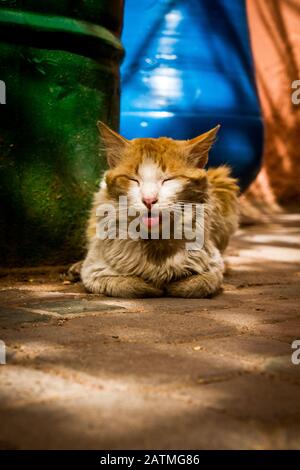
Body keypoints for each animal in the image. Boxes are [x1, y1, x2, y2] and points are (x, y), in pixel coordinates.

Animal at [79, 121, 239, 298]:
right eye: (133, 180)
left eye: (168, 180)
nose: (149, 200)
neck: (155, 241)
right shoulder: (94, 271)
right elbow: (128, 285)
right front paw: (153, 285)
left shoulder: (213, 265)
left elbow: (199, 284)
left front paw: (173, 284)